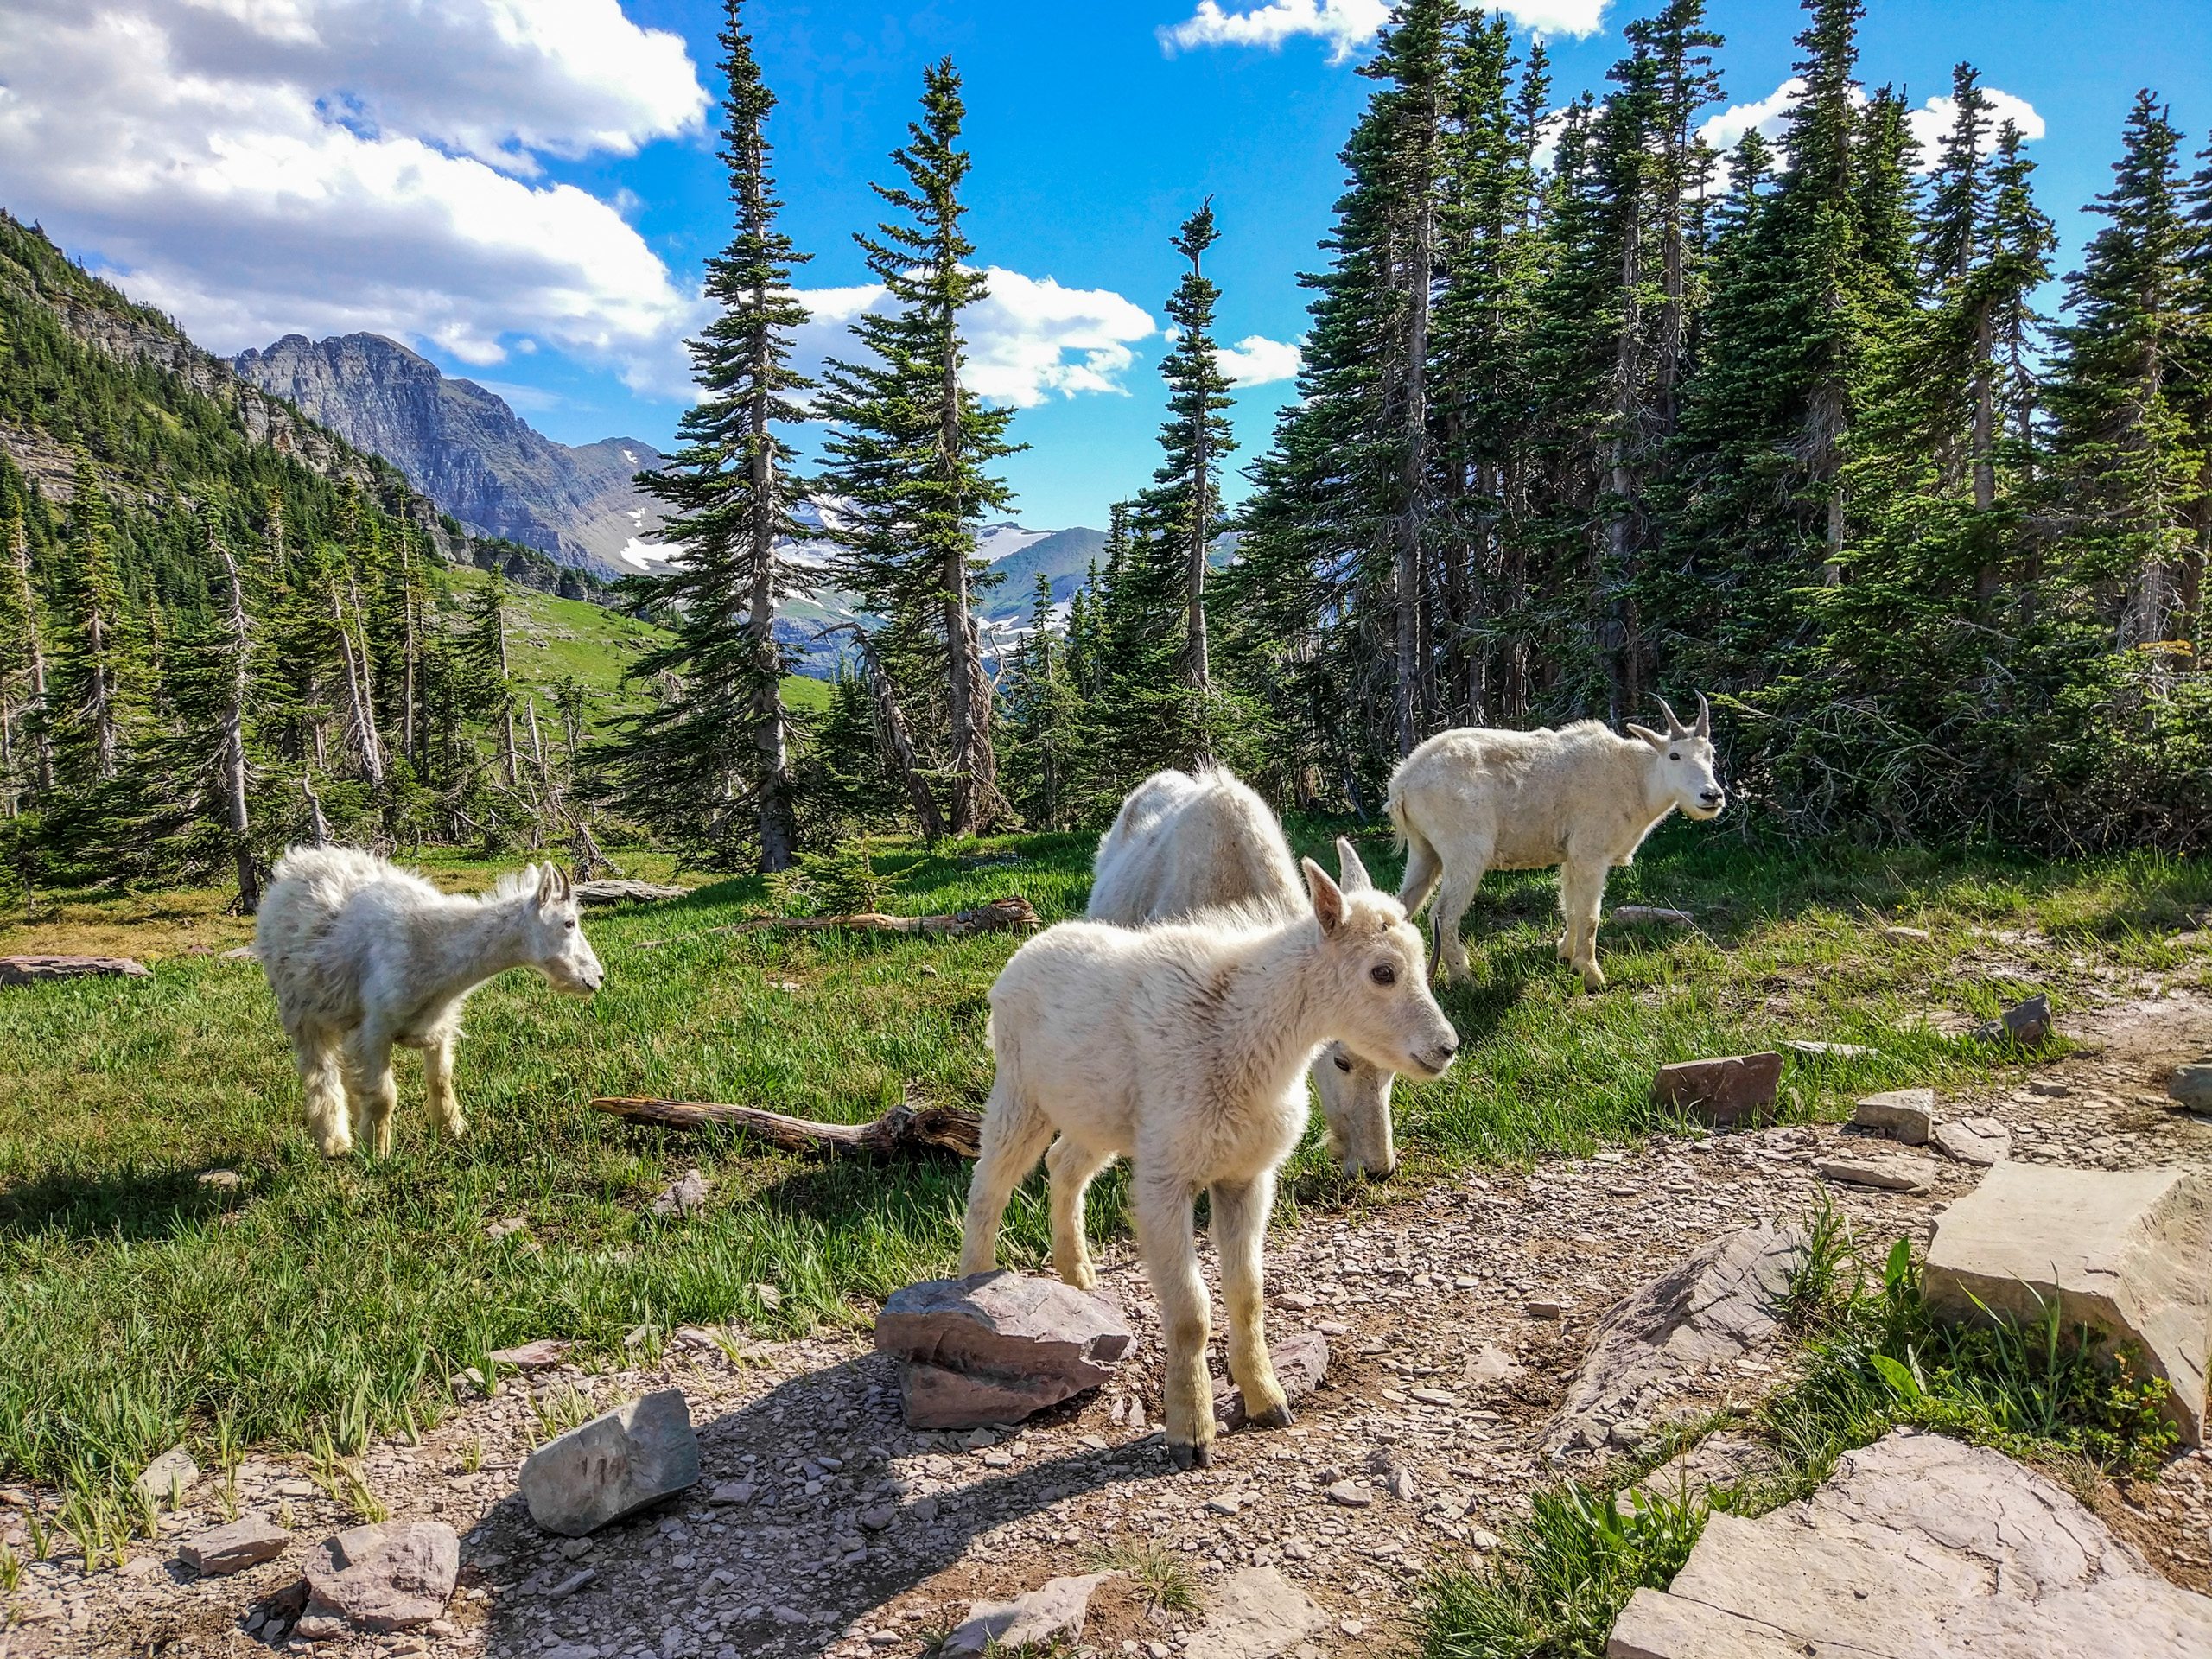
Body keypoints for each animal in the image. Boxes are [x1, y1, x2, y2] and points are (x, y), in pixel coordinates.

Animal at [255, 847, 603, 1156]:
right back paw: (335, 1144)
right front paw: (377, 1154)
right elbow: (383, 1095)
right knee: (319, 1072)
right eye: (569, 922)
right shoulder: (375, 1029)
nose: (596, 977)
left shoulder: (441, 1024)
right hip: (300, 1010)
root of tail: (293, 865)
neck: (434, 947)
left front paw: (452, 1131)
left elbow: (440, 1079)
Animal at [961, 842, 1458, 1469]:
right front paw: (1190, 1433)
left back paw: (1078, 1273)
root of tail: (1025, 951)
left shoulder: (1245, 1174)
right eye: (1383, 972)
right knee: (990, 1182)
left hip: (1098, 1113)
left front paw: (1267, 1401)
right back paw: (973, 1284)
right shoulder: (1165, 1177)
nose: (1446, 1048)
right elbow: (1190, 1314)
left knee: (1064, 1165)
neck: (1248, 1037)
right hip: (1020, 1090)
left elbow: (1247, 1295)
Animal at [1388, 695, 1725, 990]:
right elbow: (1590, 914)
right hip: (1465, 851)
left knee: (1404, 904)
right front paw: (1591, 975)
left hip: (1424, 850)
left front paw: (1565, 955)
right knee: (1443, 913)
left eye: (1711, 754)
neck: (1636, 780)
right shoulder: (1591, 852)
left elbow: (1571, 905)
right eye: (1674, 755)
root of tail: (1403, 781)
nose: (1712, 796)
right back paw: (1465, 980)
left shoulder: (1571, 854)